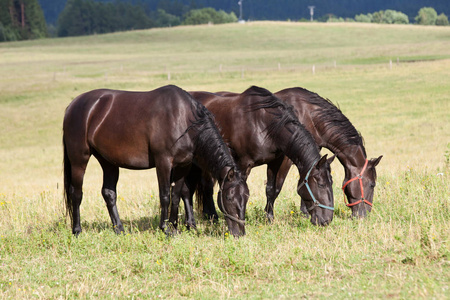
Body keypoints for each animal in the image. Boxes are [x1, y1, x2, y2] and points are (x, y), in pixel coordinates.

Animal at [62, 84, 250, 237]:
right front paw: (165, 228)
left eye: (246, 197)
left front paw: (174, 228)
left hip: (108, 162)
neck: (182, 120)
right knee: (76, 193)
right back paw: (77, 230)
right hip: (79, 160)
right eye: (230, 198)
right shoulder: (163, 162)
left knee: (109, 193)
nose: (240, 233)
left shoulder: (183, 165)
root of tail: (73, 105)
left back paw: (119, 229)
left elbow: (176, 195)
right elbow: (165, 195)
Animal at [185, 85, 336, 226]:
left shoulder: (275, 162)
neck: (263, 123)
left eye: (331, 183)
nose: (327, 220)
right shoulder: (242, 164)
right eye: (321, 184)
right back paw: (212, 217)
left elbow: (271, 190)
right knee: (206, 186)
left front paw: (269, 218)